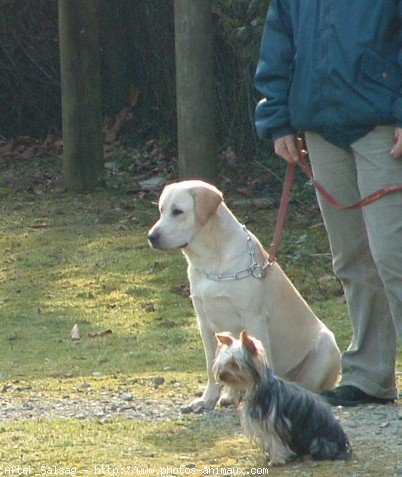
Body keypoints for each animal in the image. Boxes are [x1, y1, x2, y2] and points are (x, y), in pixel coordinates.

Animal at [148, 180, 340, 410]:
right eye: (161, 210)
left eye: (178, 211)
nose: (151, 237)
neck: (211, 262)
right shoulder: (204, 323)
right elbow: (211, 367)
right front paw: (208, 399)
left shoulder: (254, 318)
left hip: (326, 348)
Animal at [214, 330, 352, 464]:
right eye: (223, 363)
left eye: (235, 364)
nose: (221, 375)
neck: (258, 388)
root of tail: (344, 444)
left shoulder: (275, 423)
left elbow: (275, 441)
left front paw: (276, 460)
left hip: (318, 441)